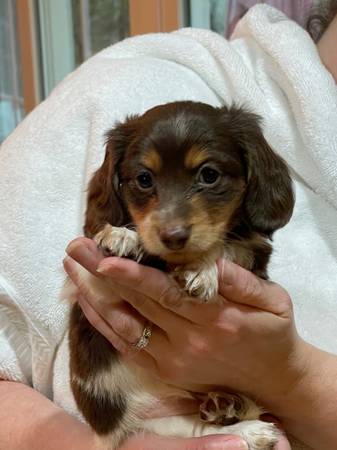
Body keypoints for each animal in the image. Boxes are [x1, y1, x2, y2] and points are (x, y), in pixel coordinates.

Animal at [68, 102, 294, 450]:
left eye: (209, 175)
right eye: (144, 179)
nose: (173, 237)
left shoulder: (253, 255)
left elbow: (225, 247)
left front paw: (201, 268)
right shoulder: (89, 285)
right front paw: (124, 237)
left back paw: (239, 418)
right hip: (158, 424)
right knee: (195, 429)